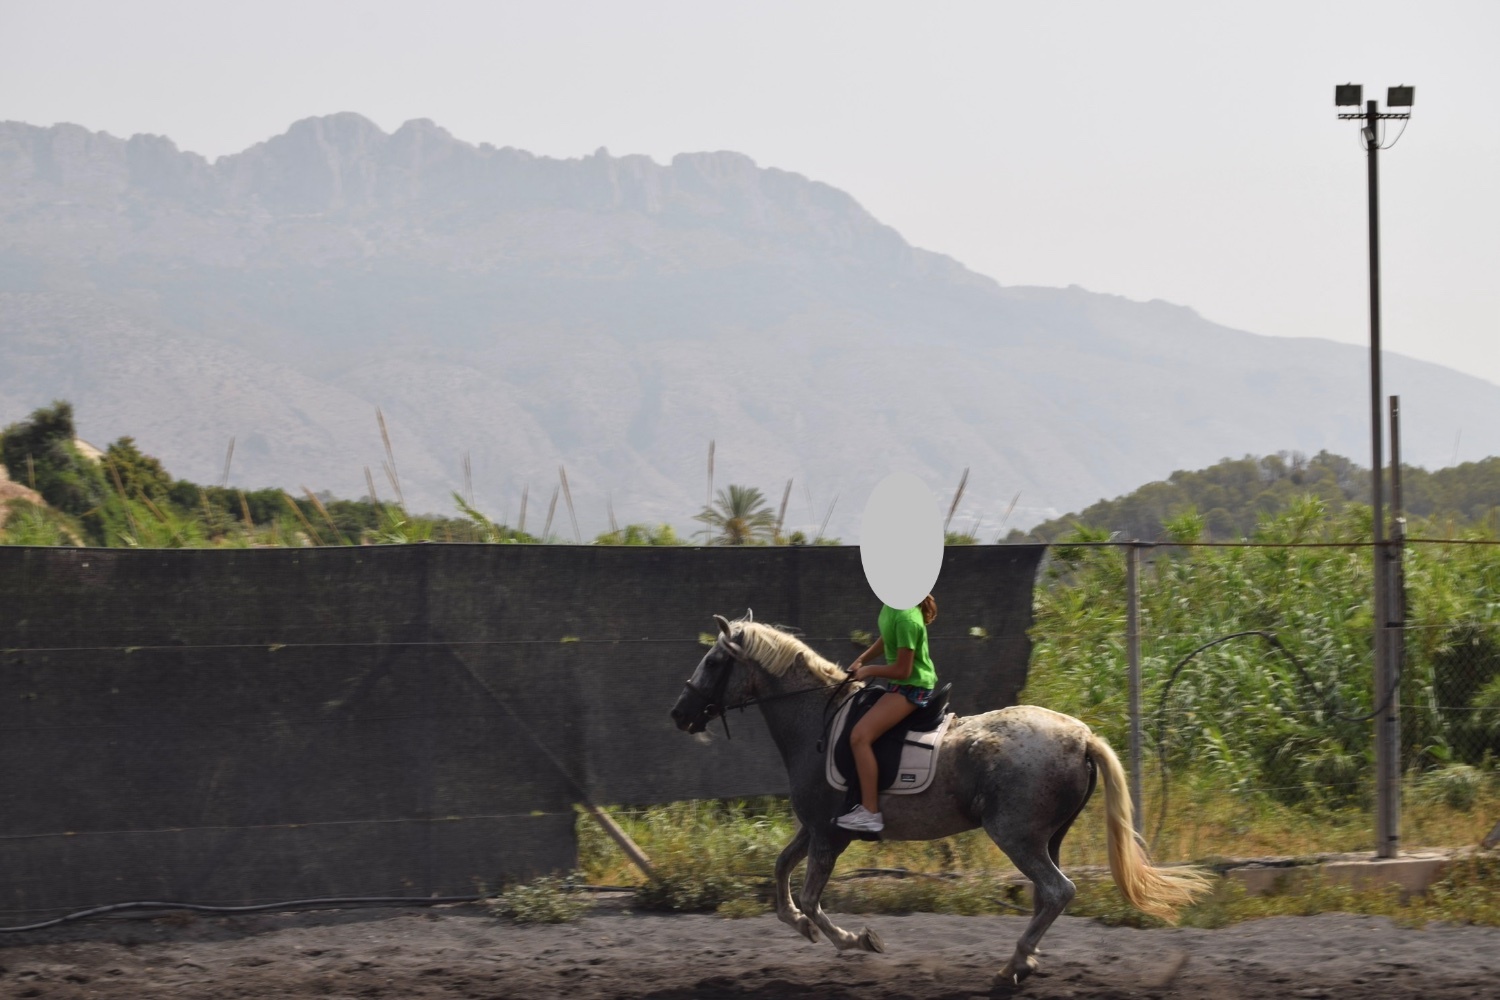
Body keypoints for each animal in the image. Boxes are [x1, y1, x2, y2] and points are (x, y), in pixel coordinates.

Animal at [670, 613, 1212, 988]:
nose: (679, 714)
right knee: (1047, 895)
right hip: (1047, 836)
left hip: (1014, 835)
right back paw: (1024, 963)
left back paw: (1012, 964)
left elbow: (808, 895)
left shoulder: (828, 834)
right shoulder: (817, 828)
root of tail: (1083, 738)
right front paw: (802, 927)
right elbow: (781, 872)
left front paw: (856, 940)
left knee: (1058, 891)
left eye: (714, 662)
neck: (815, 723)